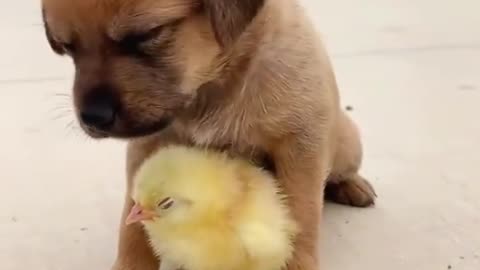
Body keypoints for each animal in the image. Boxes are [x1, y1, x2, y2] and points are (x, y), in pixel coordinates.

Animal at [42, 0, 376, 270]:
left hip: (346, 143)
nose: (92, 119)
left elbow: (301, 220)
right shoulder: (147, 148)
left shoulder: (300, 146)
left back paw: (352, 186)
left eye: (146, 35)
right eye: (66, 47)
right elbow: (132, 228)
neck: (213, 86)